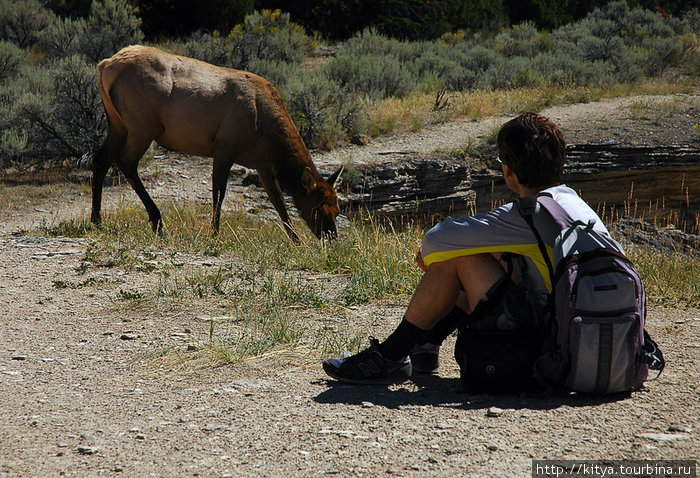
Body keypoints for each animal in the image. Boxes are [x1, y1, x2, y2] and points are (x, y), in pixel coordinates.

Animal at [91, 44, 344, 241]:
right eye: (320, 209)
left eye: (338, 208)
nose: (331, 238)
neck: (267, 135)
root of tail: (105, 65)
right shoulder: (224, 147)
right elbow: (219, 195)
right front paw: (214, 234)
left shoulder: (263, 165)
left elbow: (279, 202)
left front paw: (296, 241)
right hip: (142, 125)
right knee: (126, 162)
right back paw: (156, 221)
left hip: (117, 124)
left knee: (101, 159)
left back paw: (97, 219)